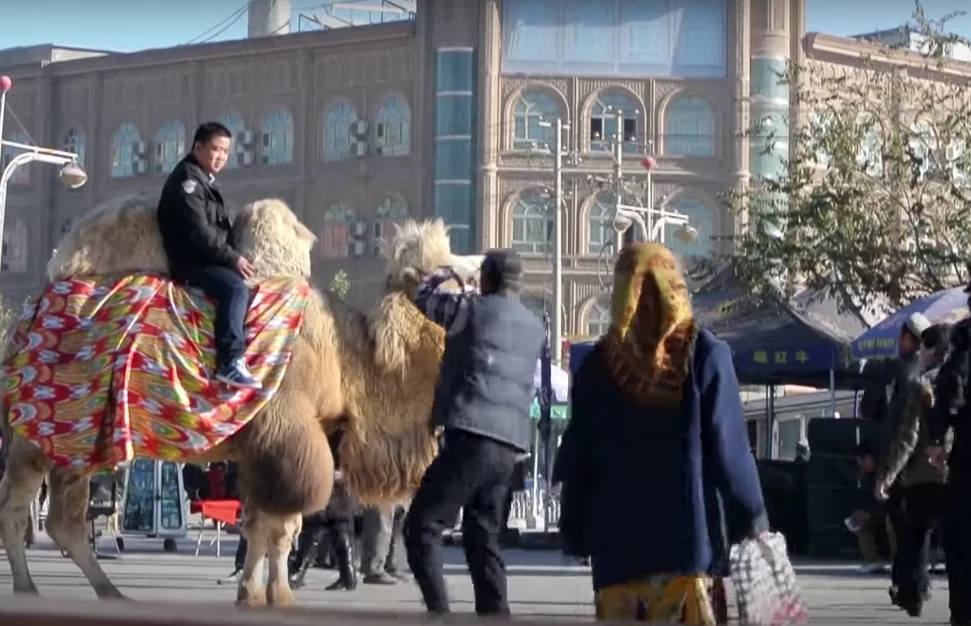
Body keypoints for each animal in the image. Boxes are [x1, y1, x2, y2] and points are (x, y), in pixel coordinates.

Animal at [0, 194, 482, 604]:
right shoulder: (288, 435)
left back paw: (109, 591)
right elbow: (281, 528)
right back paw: (28, 588)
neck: (347, 356)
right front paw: (279, 595)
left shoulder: (261, 448)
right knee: (17, 507)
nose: (487, 261)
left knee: (63, 521)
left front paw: (253, 593)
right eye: (459, 273)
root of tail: (24, 319)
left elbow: (260, 527)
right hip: (36, 433)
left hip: (77, 443)